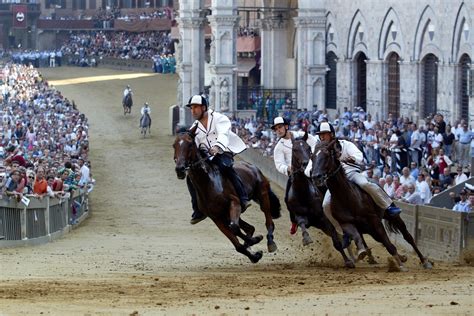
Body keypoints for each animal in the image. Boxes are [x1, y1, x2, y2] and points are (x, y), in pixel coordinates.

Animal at [176, 124, 284, 262]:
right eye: (174, 145)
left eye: (189, 144)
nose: (180, 169)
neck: (209, 183)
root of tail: (251, 166)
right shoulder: (216, 217)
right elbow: (237, 243)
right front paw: (254, 254)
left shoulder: (234, 203)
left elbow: (234, 227)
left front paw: (255, 240)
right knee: (250, 228)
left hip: (262, 195)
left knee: (268, 222)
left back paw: (270, 242)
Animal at [312, 141, 434, 272]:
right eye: (312, 157)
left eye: (326, 156)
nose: (316, 177)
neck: (347, 197)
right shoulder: (346, 223)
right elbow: (358, 236)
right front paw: (361, 252)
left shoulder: (374, 220)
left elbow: (389, 244)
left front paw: (400, 265)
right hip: (369, 229)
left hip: (391, 217)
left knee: (407, 237)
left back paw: (424, 261)